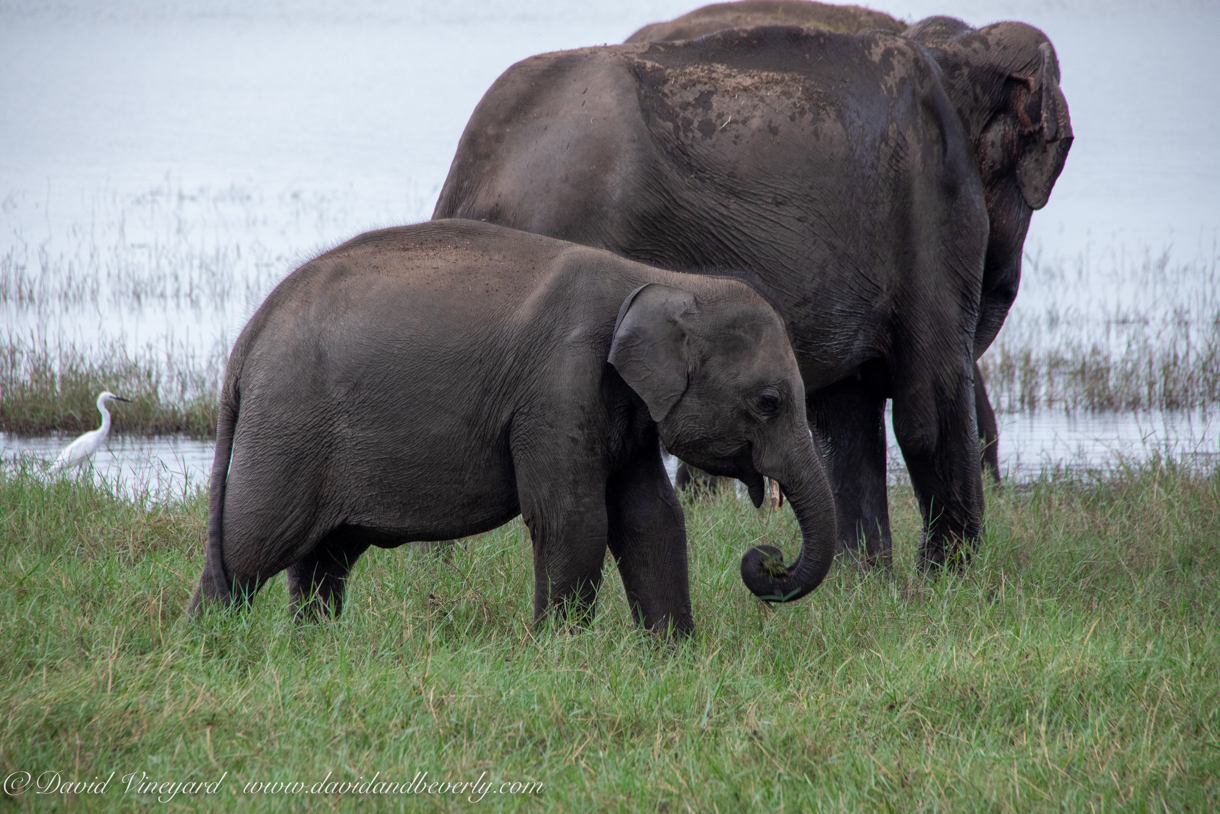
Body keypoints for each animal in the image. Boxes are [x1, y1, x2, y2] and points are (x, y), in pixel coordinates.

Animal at [187, 218, 839, 634]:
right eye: (769, 402)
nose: (767, 558)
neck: (661, 279)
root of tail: (249, 335)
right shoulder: (557, 390)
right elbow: (574, 520)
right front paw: (561, 653)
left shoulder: (621, 408)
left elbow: (651, 518)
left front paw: (671, 654)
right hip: (288, 426)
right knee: (252, 544)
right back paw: (210, 645)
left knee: (325, 555)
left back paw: (311, 646)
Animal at [436, 19, 1068, 571]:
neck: (958, 57)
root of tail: (471, 174)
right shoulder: (931, 213)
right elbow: (928, 408)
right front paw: (949, 584)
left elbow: (847, 415)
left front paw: (867, 585)